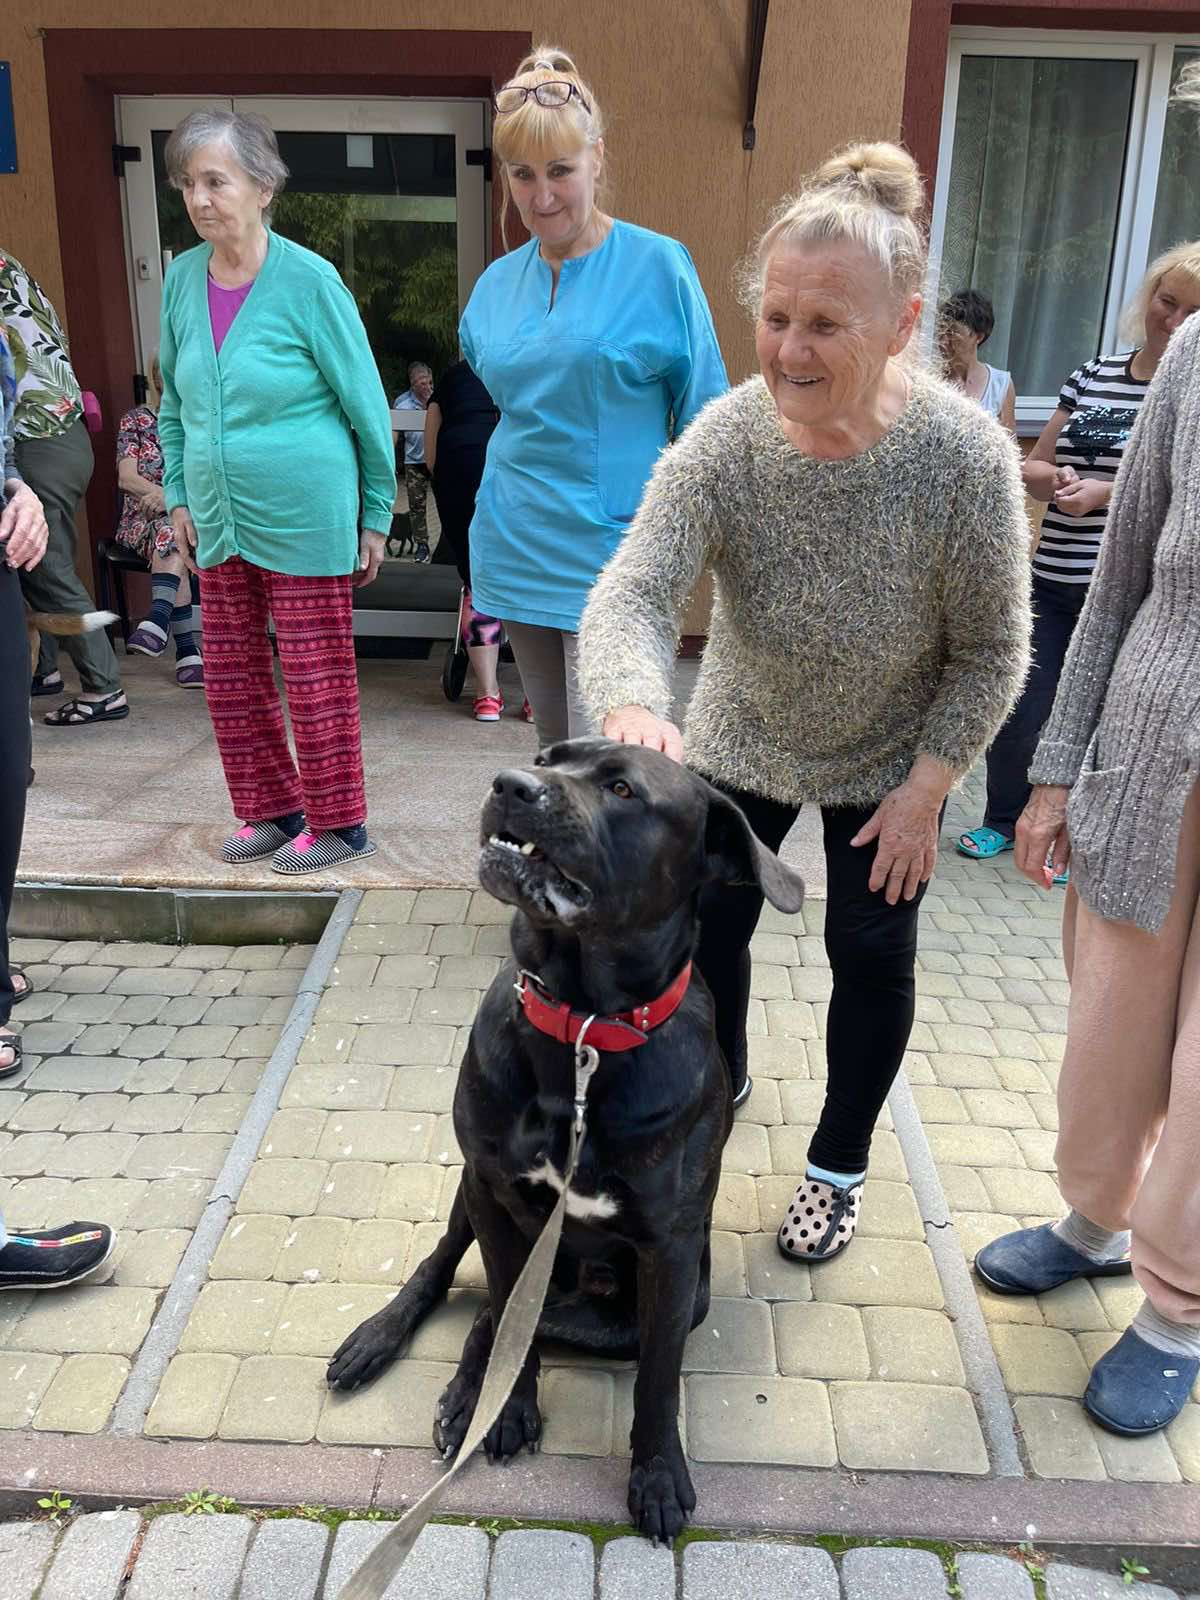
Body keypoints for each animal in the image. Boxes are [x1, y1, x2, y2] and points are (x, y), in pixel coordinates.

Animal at [331, 742, 809, 1542]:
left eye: (622, 789)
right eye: (546, 758)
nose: (510, 785)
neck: (583, 1030)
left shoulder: (671, 1253)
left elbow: (656, 1379)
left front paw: (656, 1474)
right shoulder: (492, 1194)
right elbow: (503, 1314)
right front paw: (508, 1411)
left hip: (659, 1296)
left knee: (513, 1316)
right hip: (469, 1195)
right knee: (453, 1276)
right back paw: (387, 1344)